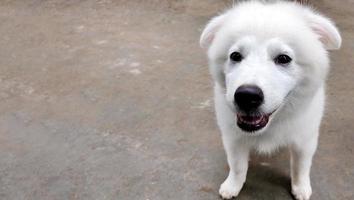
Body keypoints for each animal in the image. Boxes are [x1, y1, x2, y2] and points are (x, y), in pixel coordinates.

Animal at [199, 0, 340, 199]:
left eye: (284, 58)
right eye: (235, 56)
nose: (247, 96)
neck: (271, 124)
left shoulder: (304, 138)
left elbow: (301, 166)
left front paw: (300, 188)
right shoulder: (233, 138)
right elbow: (237, 166)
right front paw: (232, 186)